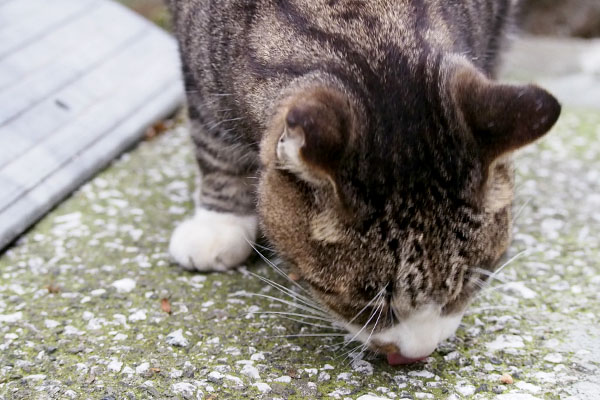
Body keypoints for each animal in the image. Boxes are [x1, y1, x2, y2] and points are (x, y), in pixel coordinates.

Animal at [164, 0, 556, 364]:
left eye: (473, 280)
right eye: (369, 301)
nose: (418, 353)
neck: (373, 29)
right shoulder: (198, 64)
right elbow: (213, 139)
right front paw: (219, 223)